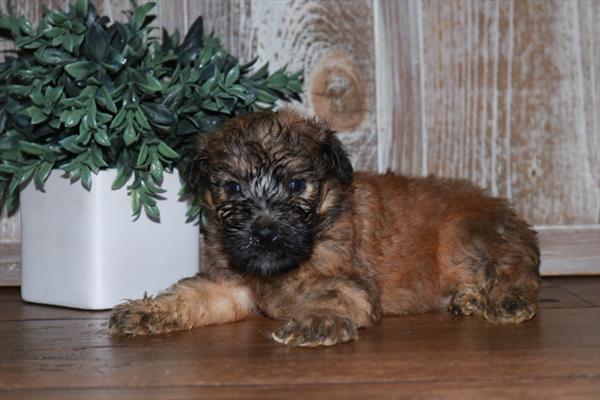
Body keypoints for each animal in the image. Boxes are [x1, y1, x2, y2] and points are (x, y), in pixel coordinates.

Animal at [110, 109, 540, 346]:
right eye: (233, 188)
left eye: (296, 186)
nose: (264, 234)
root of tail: (515, 218)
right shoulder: (229, 285)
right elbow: (189, 294)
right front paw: (146, 312)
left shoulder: (347, 282)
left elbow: (329, 295)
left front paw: (315, 322)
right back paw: (469, 298)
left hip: (462, 236)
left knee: (516, 274)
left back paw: (503, 300)